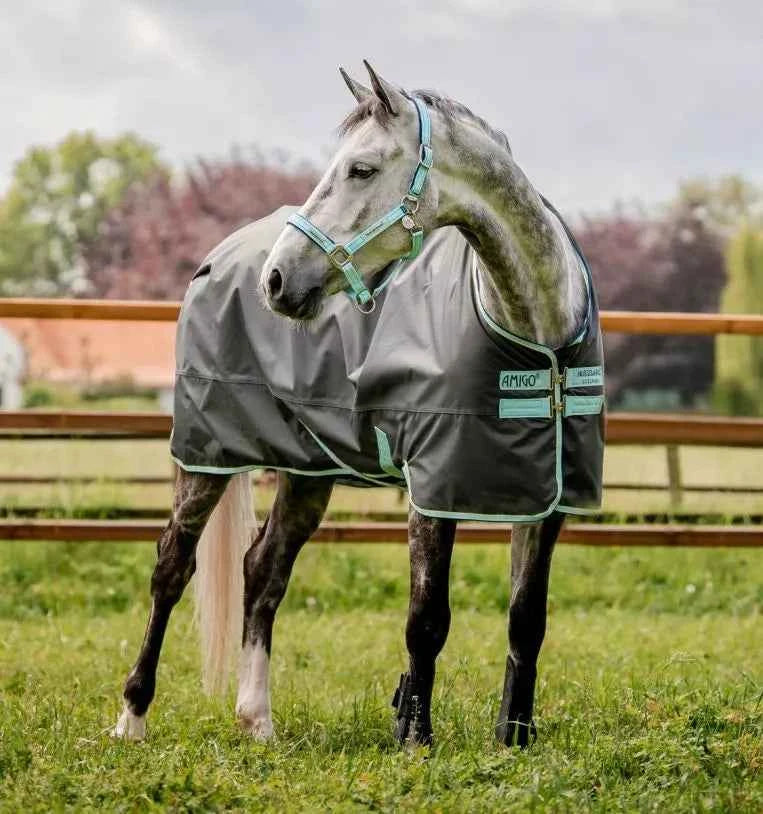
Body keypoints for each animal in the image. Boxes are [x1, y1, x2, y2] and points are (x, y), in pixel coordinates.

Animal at [113, 61, 604, 749]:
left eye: (361, 169)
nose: (277, 281)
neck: (538, 337)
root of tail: (219, 258)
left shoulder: (545, 497)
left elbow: (526, 620)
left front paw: (513, 739)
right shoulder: (433, 490)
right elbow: (427, 619)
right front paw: (415, 738)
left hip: (306, 471)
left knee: (262, 571)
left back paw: (257, 721)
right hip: (206, 456)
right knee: (171, 568)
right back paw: (131, 718)